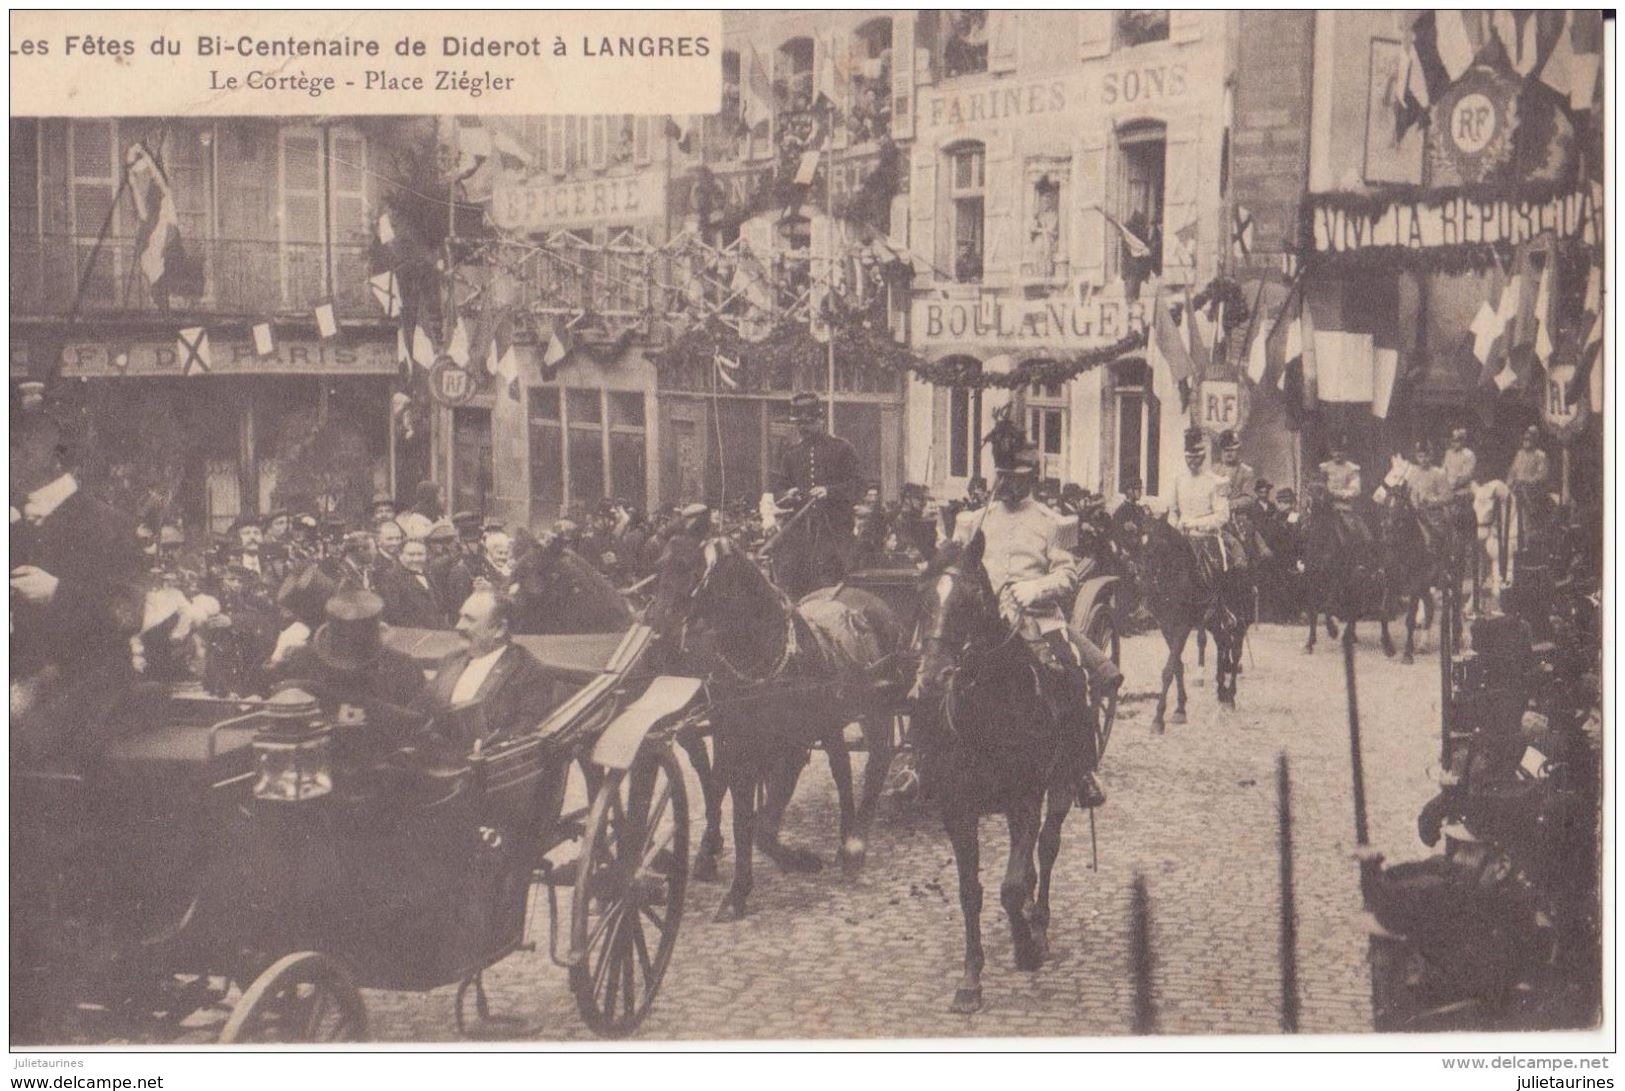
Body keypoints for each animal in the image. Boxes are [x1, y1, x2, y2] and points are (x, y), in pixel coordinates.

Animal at [643, 536, 903, 923]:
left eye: (691, 571)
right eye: (659, 566)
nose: (655, 637)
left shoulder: (791, 749)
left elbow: (763, 829)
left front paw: (800, 861)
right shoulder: (740, 747)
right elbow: (743, 819)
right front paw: (737, 891)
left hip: (876, 711)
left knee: (877, 762)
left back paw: (856, 844)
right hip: (830, 722)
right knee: (842, 770)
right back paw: (844, 839)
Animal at [916, 536, 1092, 1014]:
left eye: (971, 600)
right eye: (923, 598)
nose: (932, 678)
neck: (991, 711)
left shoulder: (1025, 800)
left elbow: (1011, 886)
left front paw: (1025, 950)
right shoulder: (958, 810)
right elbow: (970, 891)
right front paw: (970, 979)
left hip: (1062, 783)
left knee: (1046, 849)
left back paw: (1040, 925)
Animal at [1131, 517, 1241, 728]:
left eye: (1160, 545)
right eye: (1140, 543)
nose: (1143, 583)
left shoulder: (1183, 626)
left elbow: (1168, 669)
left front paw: (1158, 719)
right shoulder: (1166, 626)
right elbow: (1177, 666)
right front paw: (1180, 709)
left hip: (1240, 618)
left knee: (1235, 650)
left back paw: (1230, 697)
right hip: (1213, 620)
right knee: (1223, 643)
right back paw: (1221, 690)